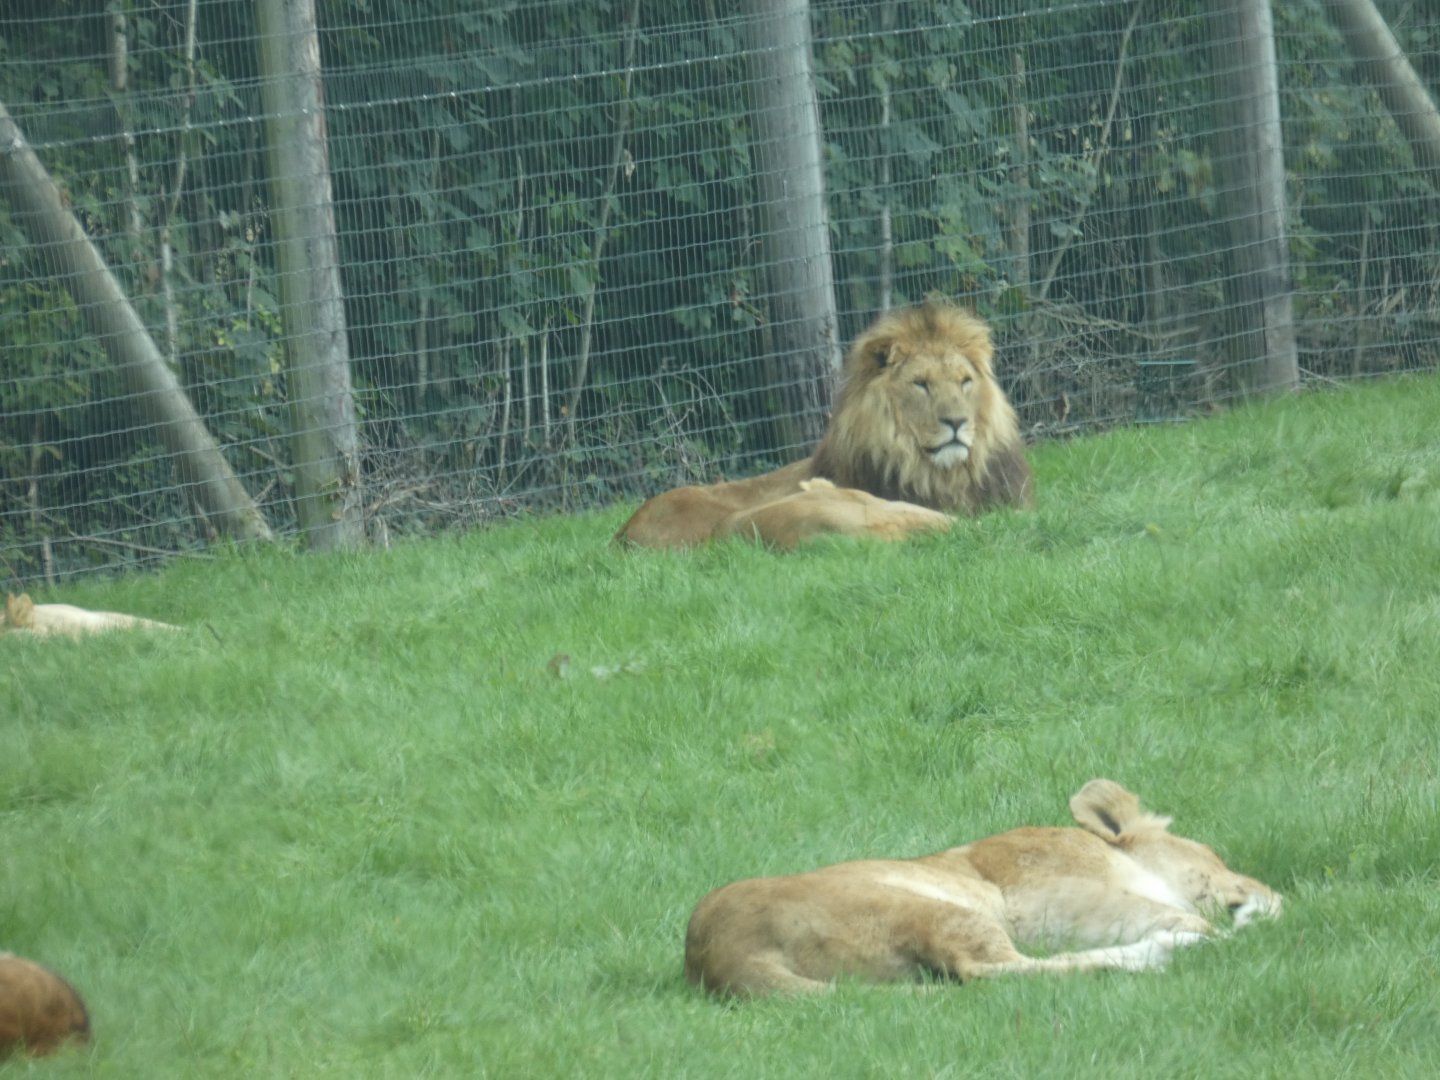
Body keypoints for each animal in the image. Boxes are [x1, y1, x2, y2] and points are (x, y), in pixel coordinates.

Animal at [684, 779, 1281, 997]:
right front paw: (1245, 931)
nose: (1277, 895)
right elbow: (1170, 911)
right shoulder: (1041, 902)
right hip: (935, 910)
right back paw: (1162, 953)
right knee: (992, 971)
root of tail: (716, 954)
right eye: (1218, 857)